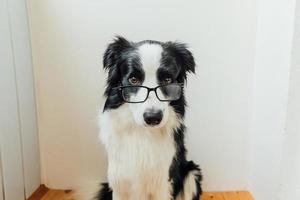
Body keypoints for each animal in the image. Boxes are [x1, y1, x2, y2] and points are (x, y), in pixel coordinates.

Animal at [97, 36, 203, 200]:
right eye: (133, 79)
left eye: (167, 80)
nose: (153, 118)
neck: (143, 133)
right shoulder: (119, 181)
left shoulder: (163, 182)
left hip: (191, 174)